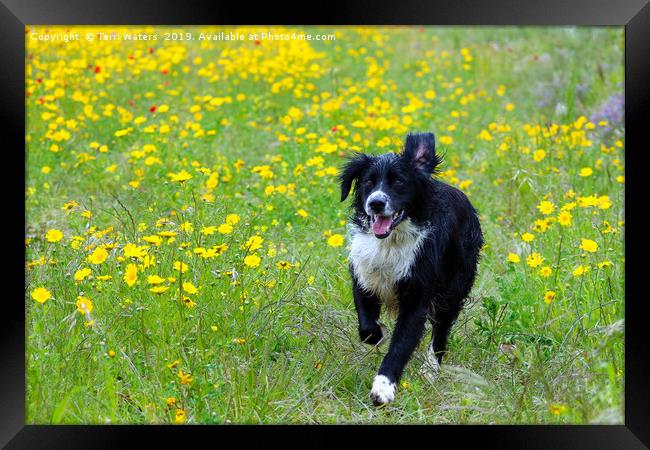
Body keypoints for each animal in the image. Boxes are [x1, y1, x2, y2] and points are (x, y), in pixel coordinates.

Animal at [340, 132, 480, 406]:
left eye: (398, 182)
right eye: (368, 181)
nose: (376, 203)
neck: (391, 241)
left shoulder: (418, 296)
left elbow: (400, 345)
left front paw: (383, 388)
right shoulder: (363, 276)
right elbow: (367, 329)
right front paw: (380, 333)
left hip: (453, 288)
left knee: (441, 332)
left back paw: (430, 369)